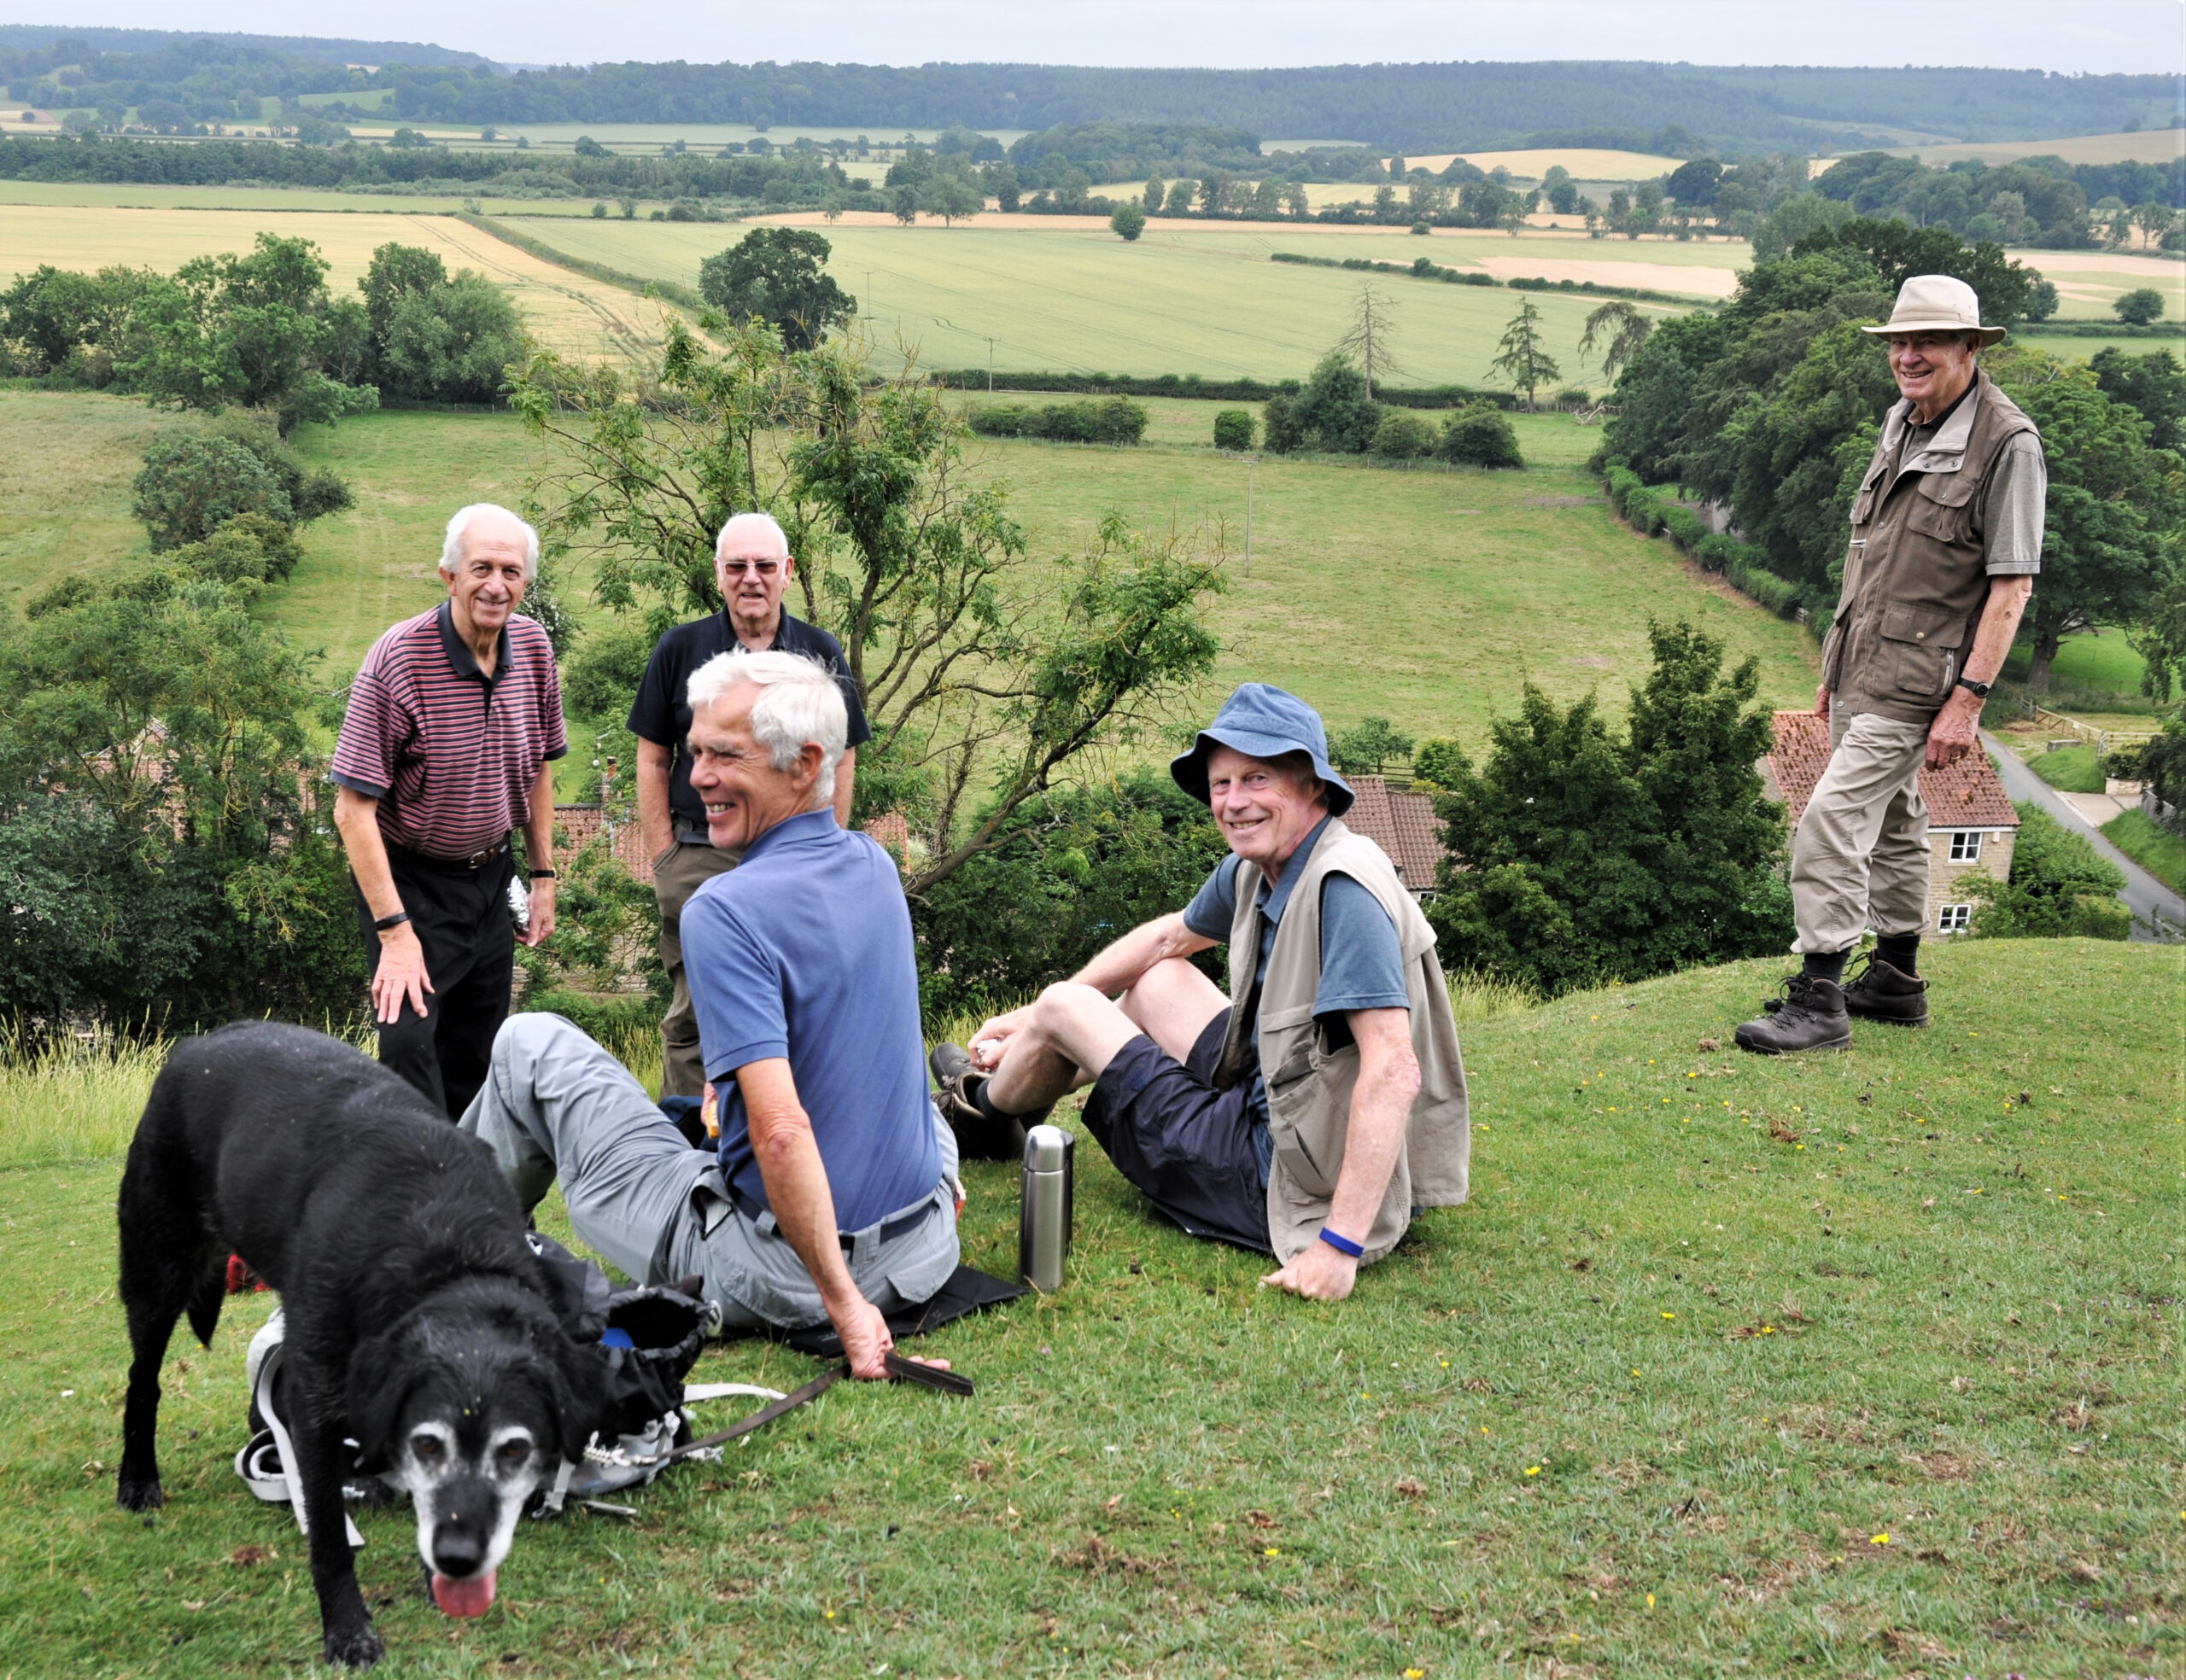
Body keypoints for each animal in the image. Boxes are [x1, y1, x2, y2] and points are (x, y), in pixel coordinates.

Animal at [120, 1022, 607, 1660]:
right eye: (428, 1444)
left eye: (516, 1450)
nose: (460, 1561)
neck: (445, 1249)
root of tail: (199, 1043)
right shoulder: (313, 1408)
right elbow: (328, 1536)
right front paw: (347, 1629)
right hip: (156, 1269)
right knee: (142, 1380)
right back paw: (137, 1480)